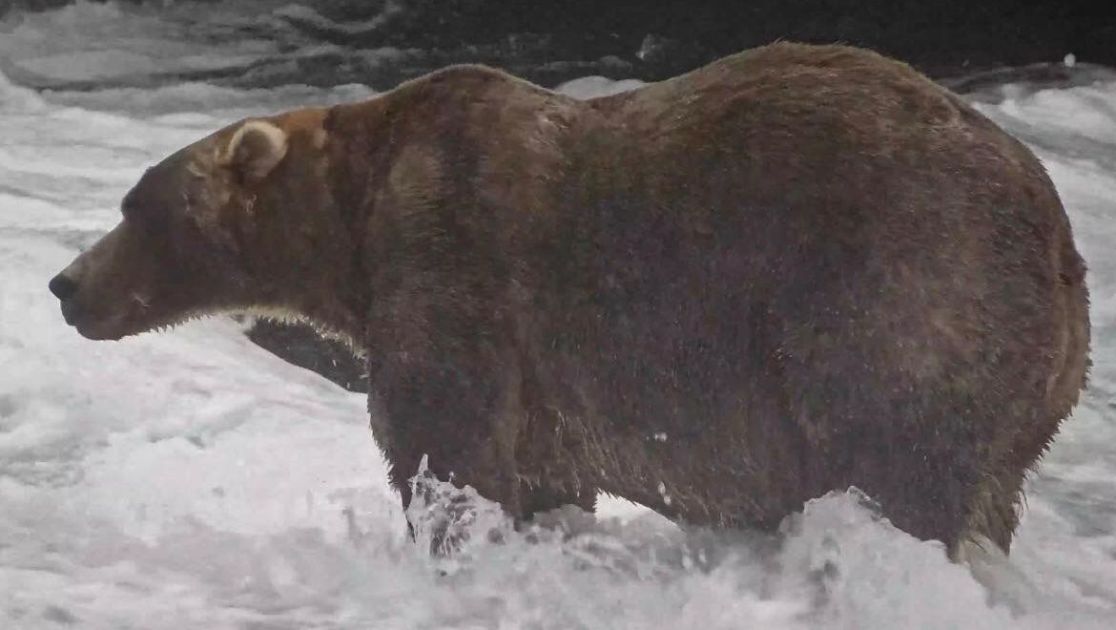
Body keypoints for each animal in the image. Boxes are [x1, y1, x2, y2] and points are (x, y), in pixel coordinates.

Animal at [49, 42, 1089, 557]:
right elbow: (542, 472)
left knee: (895, 458)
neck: (351, 225)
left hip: (899, 290)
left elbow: (443, 443)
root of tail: (1058, 233)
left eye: (136, 205)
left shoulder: (454, 260)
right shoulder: (544, 381)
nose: (66, 285)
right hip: (1033, 388)